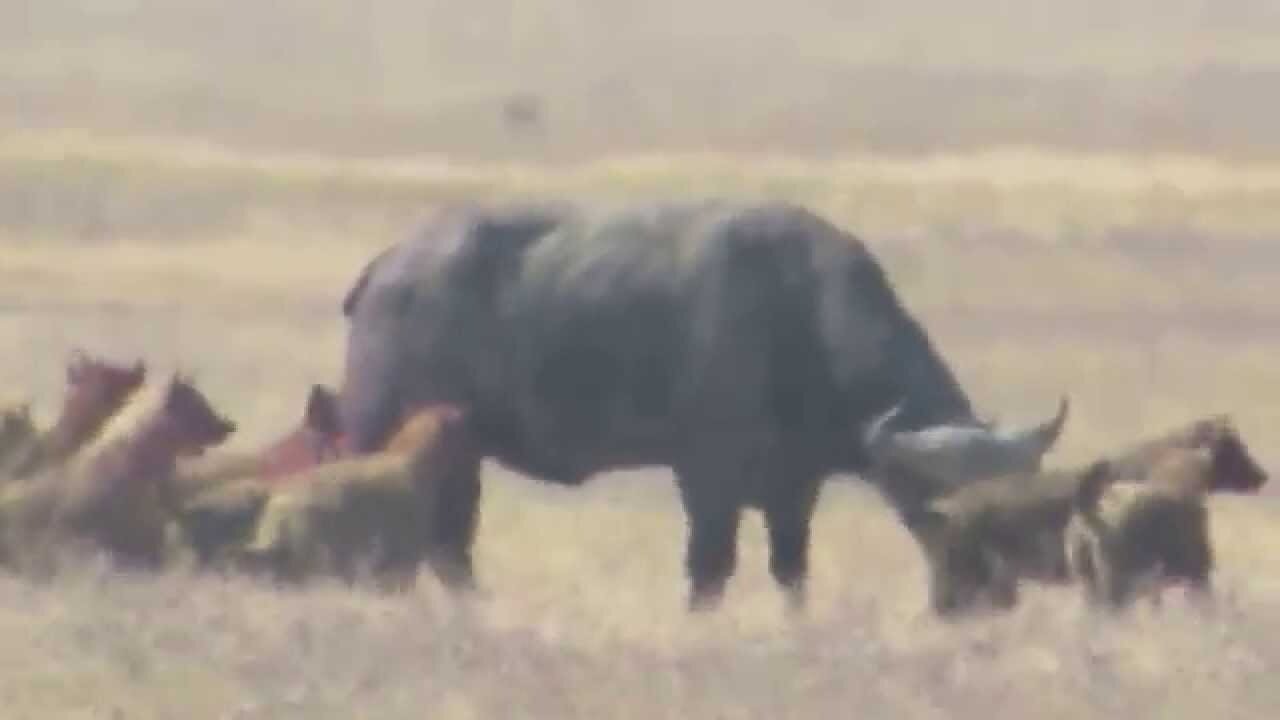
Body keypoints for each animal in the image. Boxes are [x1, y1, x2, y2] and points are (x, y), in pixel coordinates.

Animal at [337, 202, 1070, 609]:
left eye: (1025, 508)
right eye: (939, 510)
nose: (997, 593)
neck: (795, 315)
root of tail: (388, 266)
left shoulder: (794, 487)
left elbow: (790, 572)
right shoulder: (707, 478)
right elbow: (710, 569)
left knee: (449, 545)